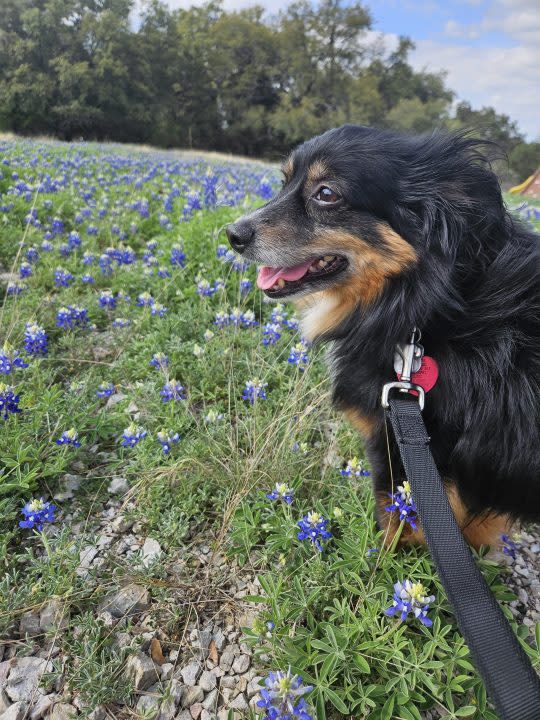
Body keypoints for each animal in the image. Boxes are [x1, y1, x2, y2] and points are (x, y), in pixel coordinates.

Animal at [227, 126, 540, 548]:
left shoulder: (403, 449)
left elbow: (397, 527)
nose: (233, 234)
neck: (428, 305)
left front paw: (376, 561)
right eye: (284, 181)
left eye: (326, 193)